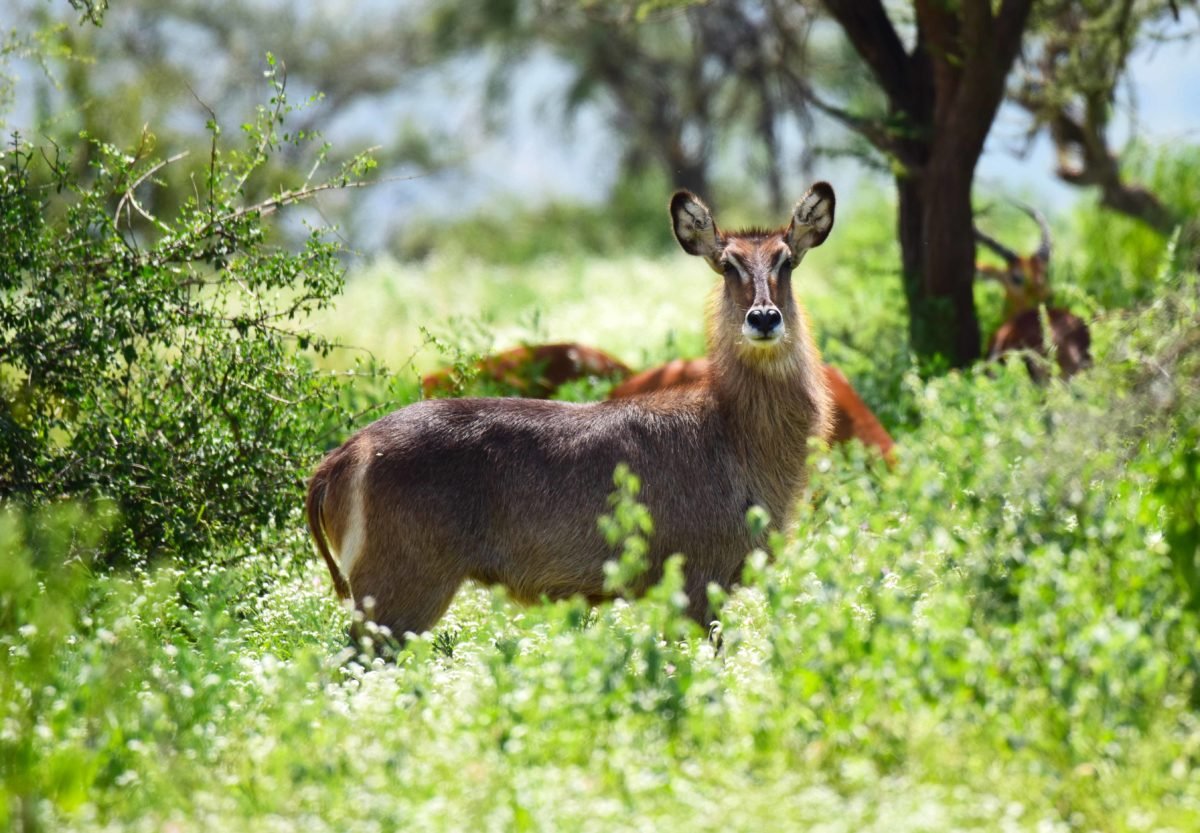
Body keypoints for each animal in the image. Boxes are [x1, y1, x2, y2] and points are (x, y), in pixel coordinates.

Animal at [307, 182, 835, 638]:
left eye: (786, 261)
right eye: (728, 265)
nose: (763, 318)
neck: (733, 431)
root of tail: (341, 455)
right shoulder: (696, 582)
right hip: (400, 594)